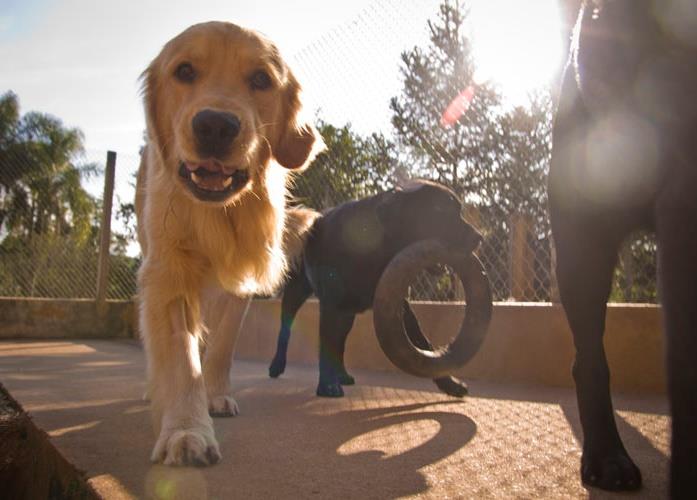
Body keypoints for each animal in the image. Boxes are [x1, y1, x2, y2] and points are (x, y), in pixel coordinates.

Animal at [270, 182, 482, 396]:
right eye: (441, 209)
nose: (479, 237)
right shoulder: (330, 305)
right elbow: (326, 344)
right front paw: (327, 385)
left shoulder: (398, 304)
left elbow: (423, 342)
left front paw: (450, 383)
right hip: (296, 293)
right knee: (286, 330)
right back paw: (277, 365)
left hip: (347, 315)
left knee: (340, 342)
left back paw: (342, 374)